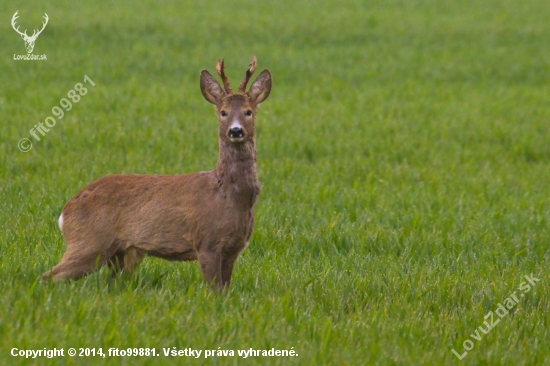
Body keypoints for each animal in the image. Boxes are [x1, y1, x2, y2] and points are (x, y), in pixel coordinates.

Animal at [42, 55, 274, 290]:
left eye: (248, 112)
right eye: (223, 112)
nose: (235, 130)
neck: (229, 196)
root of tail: (65, 212)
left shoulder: (233, 249)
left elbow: (224, 290)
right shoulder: (206, 242)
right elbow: (214, 289)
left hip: (118, 252)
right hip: (90, 241)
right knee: (50, 276)